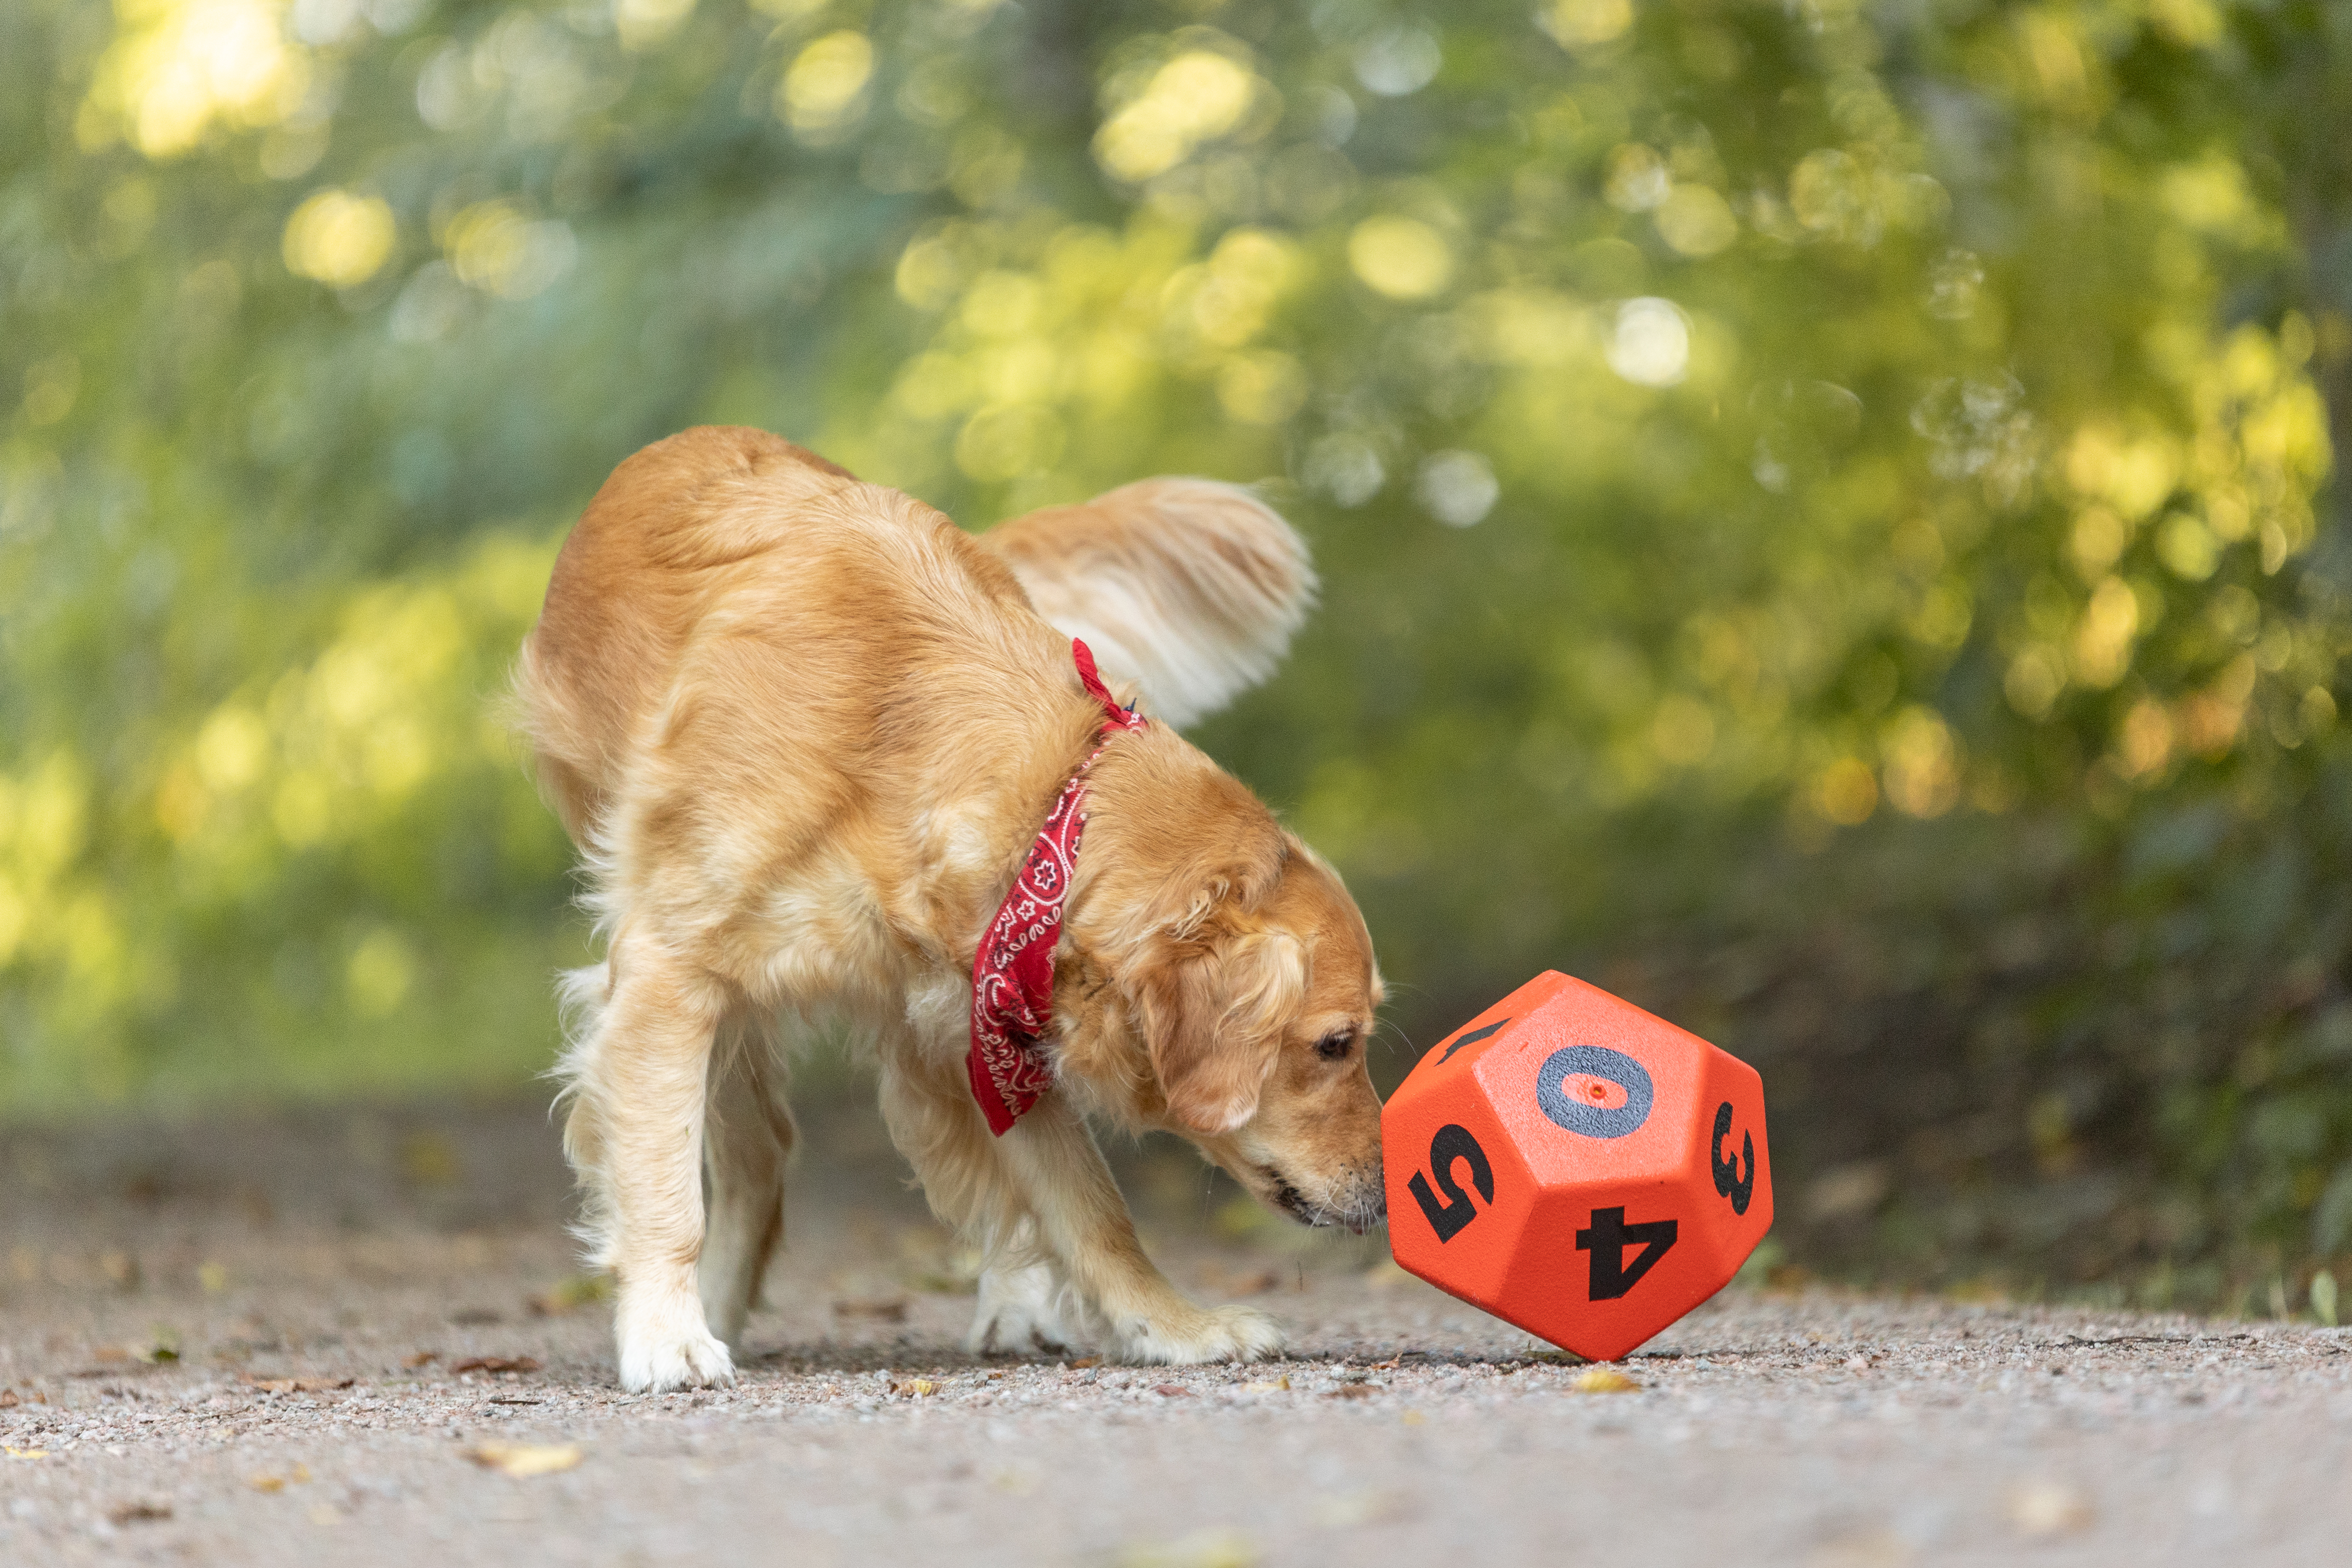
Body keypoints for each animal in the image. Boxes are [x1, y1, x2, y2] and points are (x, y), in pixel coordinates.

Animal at [515, 425, 1373, 1382]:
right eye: (1335, 1044)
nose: (1382, 1195)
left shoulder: (995, 1011)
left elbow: (1091, 1209)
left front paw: (1171, 1325)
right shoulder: (668, 973)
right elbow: (668, 1196)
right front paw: (667, 1336)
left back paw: (1015, 1303)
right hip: (738, 1016)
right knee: (754, 1158)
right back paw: (719, 1307)